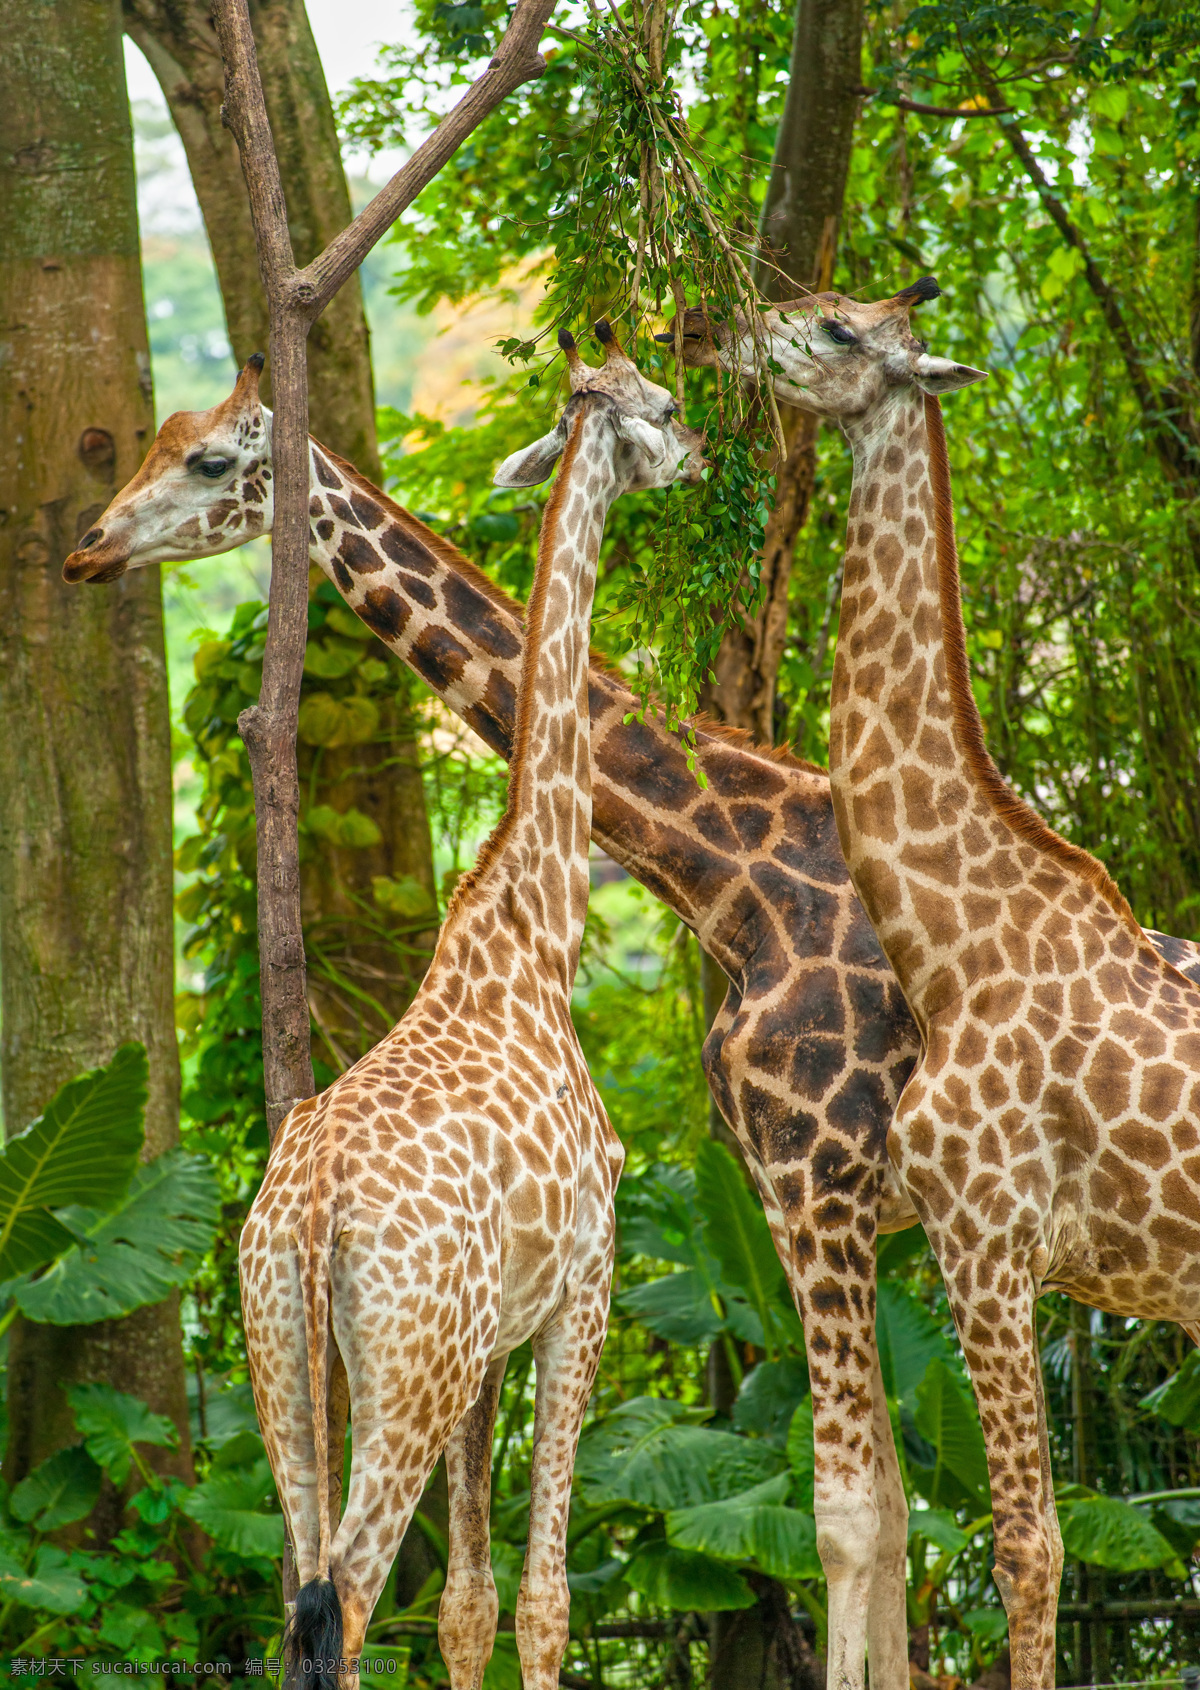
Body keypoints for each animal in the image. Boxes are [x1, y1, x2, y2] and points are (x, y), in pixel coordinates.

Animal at [231, 332, 709, 1690]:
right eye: (663, 403)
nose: (703, 447)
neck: (536, 935)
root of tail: (312, 1213)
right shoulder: (586, 1287)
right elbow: (543, 1598)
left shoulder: (491, 1335)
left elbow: (468, 1606)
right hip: (406, 1365)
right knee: (343, 1599)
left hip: (287, 1360)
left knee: (299, 1595)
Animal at [672, 280, 1200, 1690]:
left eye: (841, 332)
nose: (710, 332)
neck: (954, 941)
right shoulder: (994, 1255)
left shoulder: (989, 1242)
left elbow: (1031, 1546)